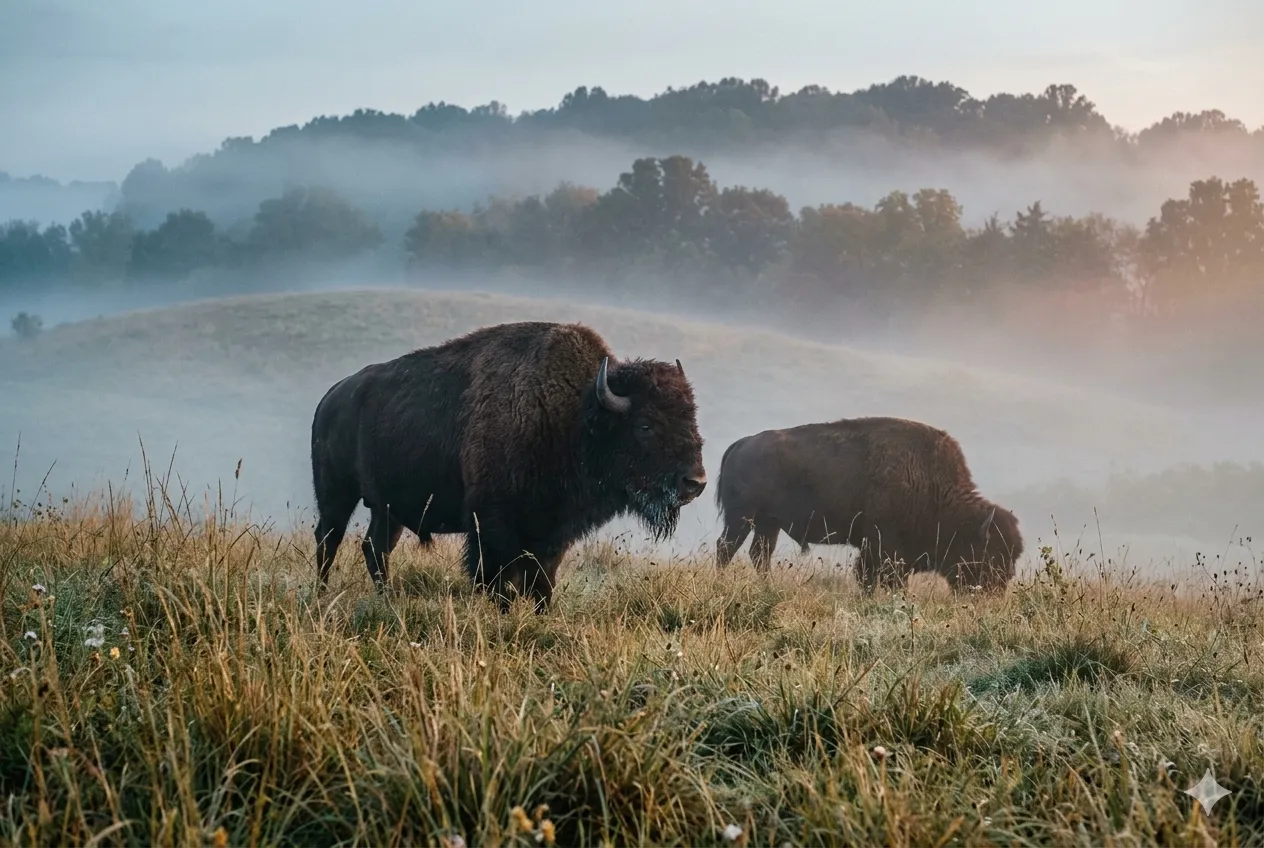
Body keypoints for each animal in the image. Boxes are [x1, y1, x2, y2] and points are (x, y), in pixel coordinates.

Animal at [310, 320, 707, 610]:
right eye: (645, 425)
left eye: (691, 418)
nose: (696, 482)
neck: (576, 415)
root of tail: (331, 397)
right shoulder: (493, 527)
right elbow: (499, 579)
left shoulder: (552, 533)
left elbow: (542, 581)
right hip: (336, 494)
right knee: (328, 540)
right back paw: (321, 594)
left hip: (387, 508)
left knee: (375, 549)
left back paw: (386, 598)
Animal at [713, 416, 1023, 593]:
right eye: (990, 553)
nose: (996, 590)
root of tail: (743, 444)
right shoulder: (883, 547)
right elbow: (879, 578)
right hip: (741, 519)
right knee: (726, 548)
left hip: (768, 523)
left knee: (759, 554)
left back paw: (769, 587)